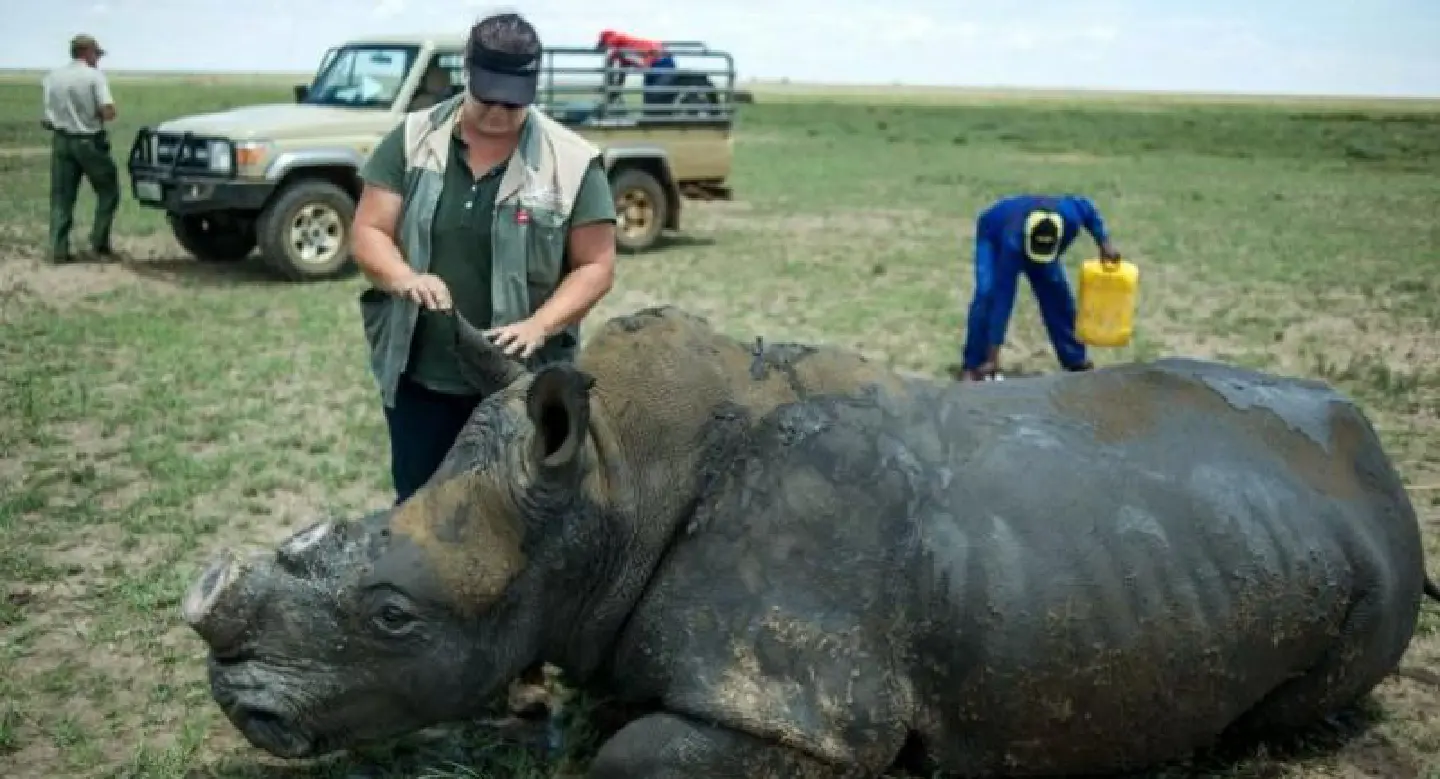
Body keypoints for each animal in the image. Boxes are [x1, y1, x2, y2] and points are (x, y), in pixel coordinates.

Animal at [181, 306, 1440, 777]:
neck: (605, 493)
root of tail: (1378, 455)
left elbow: (629, 756)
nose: (240, 702)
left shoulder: (813, 712)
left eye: (393, 614)